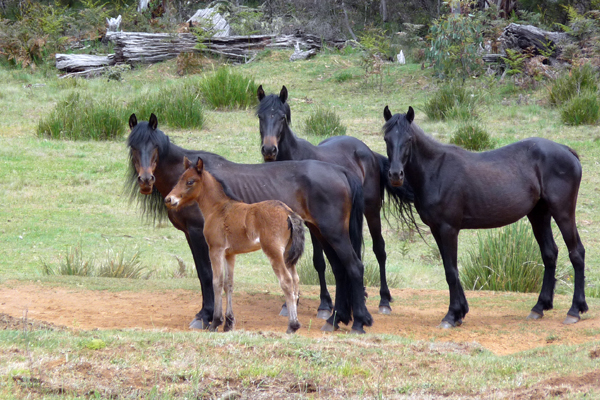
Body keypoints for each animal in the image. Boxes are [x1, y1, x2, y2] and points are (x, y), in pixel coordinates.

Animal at [126, 111, 370, 332]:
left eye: (154, 146)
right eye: (133, 146)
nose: (146, 179)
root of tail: (340, 171)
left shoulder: (199, 236)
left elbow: (207, 275)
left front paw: (205, 317)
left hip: (334, 234)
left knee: (354, 267)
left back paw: (357, 322)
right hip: (322, 233)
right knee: (339, 270)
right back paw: (335, 320)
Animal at [255, 85, 414, 316]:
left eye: (282, 117)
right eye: (260, 116)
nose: (269, 150)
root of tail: (368, 151)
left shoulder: (312, 223)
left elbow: (319, 261)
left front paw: (324, 303)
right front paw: (289, 303)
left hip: (371, 211)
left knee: (379, 250)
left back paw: (384, 300)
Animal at [384, 105, 584, 328]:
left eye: (409, 139)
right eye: (386, 138)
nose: (395, 175)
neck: (436, 170)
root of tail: (565, 150)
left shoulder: (448, 229)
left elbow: (451, 271)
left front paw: (451, 315)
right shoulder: (437, 230)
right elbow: (450, 268)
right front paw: (460, 312)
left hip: (563, 212)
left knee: (576, 253)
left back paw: (574, 311)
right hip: (539, 214)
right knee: (550, 253)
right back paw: (539, 307)